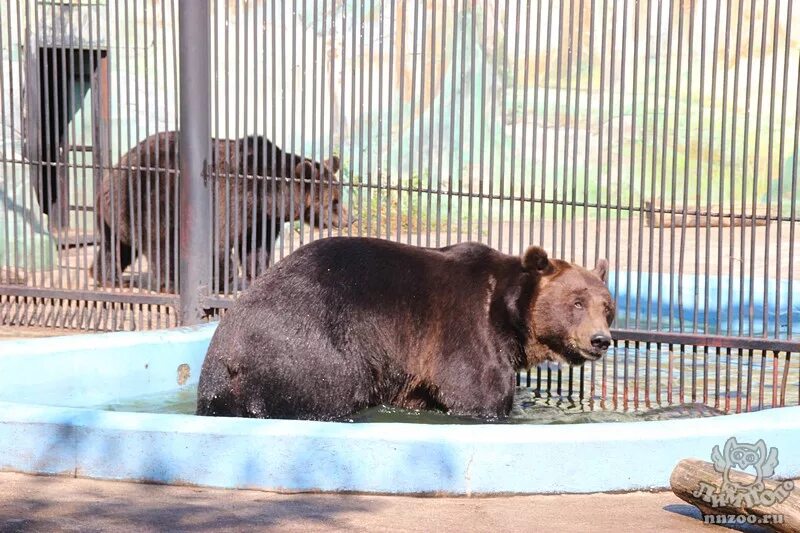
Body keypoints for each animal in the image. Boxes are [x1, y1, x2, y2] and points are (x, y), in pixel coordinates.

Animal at [92, 132, 348, 290]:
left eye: (340, 195)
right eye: (334, 201)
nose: (349, 218)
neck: (267, 196)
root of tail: (112, 170)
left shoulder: (260, 219)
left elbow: (256, 247)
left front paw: (258, 274)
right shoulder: (229, 202)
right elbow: (220, 244)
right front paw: (224, 278)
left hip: (117, 214)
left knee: (116, 246)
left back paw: (108, 277)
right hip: (150, 201)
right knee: (162, 246)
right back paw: (170, 283)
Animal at [197, 237, 616, 420]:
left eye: (607, 307)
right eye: (577, 303)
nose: (601, 340)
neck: (509, 314)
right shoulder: (467, 332)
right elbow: (475, 394)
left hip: (219, 386)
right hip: (312, 348)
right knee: (334, 390)